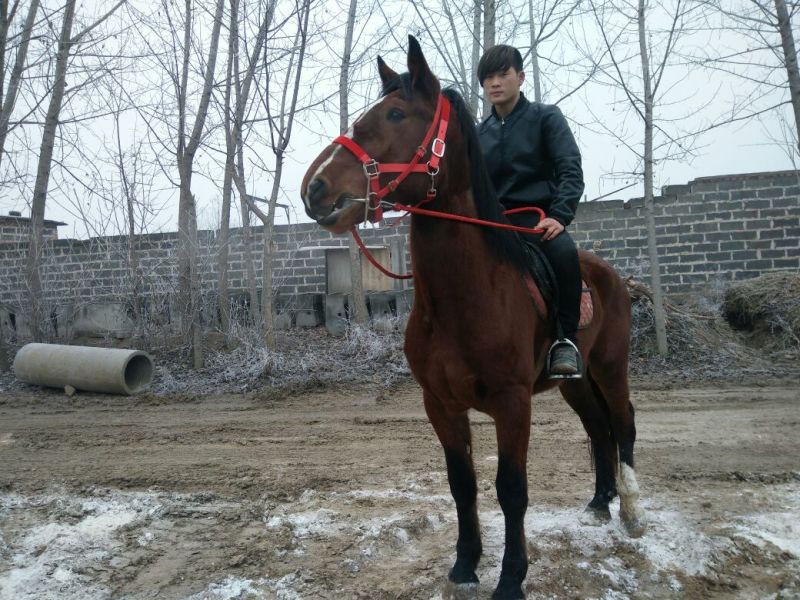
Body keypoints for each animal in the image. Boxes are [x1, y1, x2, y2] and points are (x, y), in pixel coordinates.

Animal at [301, 36, 645, 600]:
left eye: (395, 114)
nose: (315, 188)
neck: (464, 300)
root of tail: (611, 274)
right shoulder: (440, 404)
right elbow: (461, 485)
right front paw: (465, 565)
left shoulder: (512, 404)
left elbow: (512, 489)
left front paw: (511, 577)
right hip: (573, 382)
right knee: (598, 427)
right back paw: (599, 503)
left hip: (611, 367)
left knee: (623, 423)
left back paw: (633, 511)